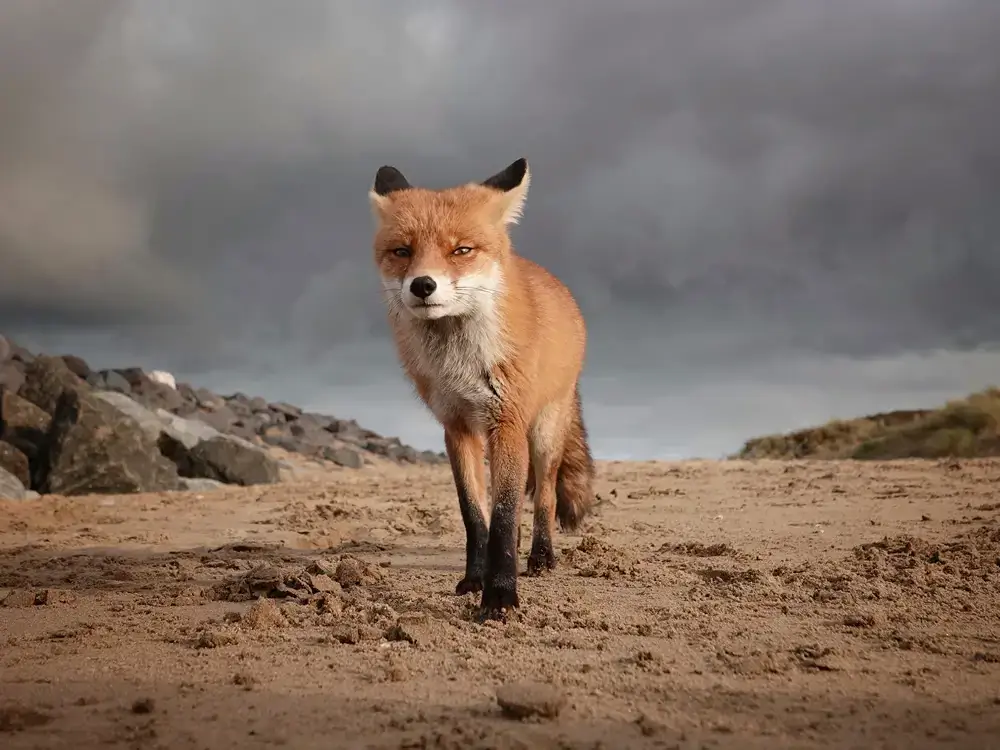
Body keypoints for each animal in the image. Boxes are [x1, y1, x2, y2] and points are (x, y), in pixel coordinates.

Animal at [372, 157, 596, 624]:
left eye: (461, 250)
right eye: (402, 251)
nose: (422, 285)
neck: (459, 364)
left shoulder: (506, 421)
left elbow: (506, 515)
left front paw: (500, 595)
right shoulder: (456, 426)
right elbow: (476, 516)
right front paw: (475, 579)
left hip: (543, 433)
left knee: (545, 496)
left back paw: (541, 556)